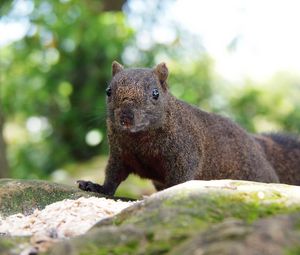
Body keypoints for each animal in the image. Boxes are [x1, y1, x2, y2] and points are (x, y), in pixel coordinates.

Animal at [77, 61, 300, 195]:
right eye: (108, 91)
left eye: (155, 93)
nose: (125, 117)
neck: (139, 138)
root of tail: (259, 146)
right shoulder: (119, 153)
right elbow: (113, 175)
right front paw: (96, 186)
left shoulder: (186, 151)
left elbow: (181, 177)